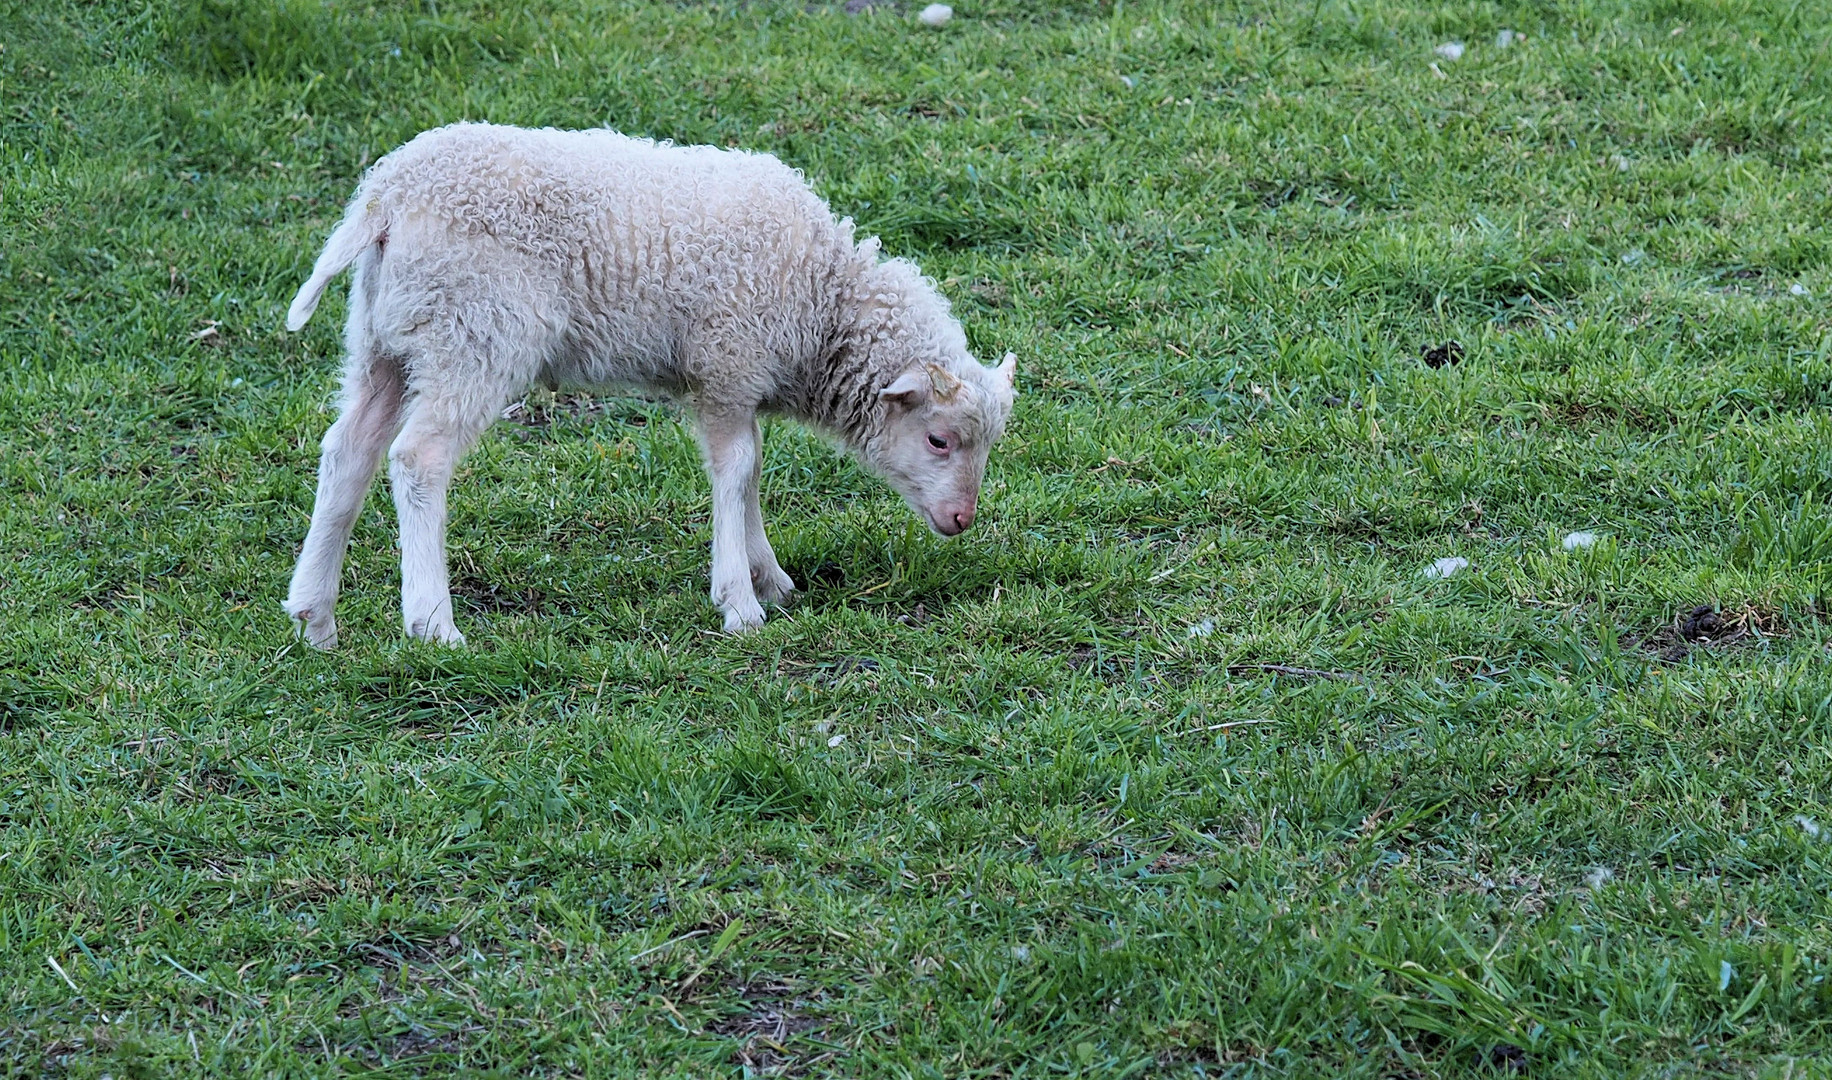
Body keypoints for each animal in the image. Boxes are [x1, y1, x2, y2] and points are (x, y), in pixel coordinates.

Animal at [282, 124, 1018, 651]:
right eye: (939, 440)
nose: (962, 520)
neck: (819, 300)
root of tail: (386, 196)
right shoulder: (726, 362)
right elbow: (737, 471)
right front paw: (739, 600)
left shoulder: (735, 380)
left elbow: (749, 472)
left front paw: (768, 578)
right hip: (474, 335)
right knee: (418, 460)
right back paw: (433, 622)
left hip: (385, 340)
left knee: (348, 452)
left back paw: (315, 614)